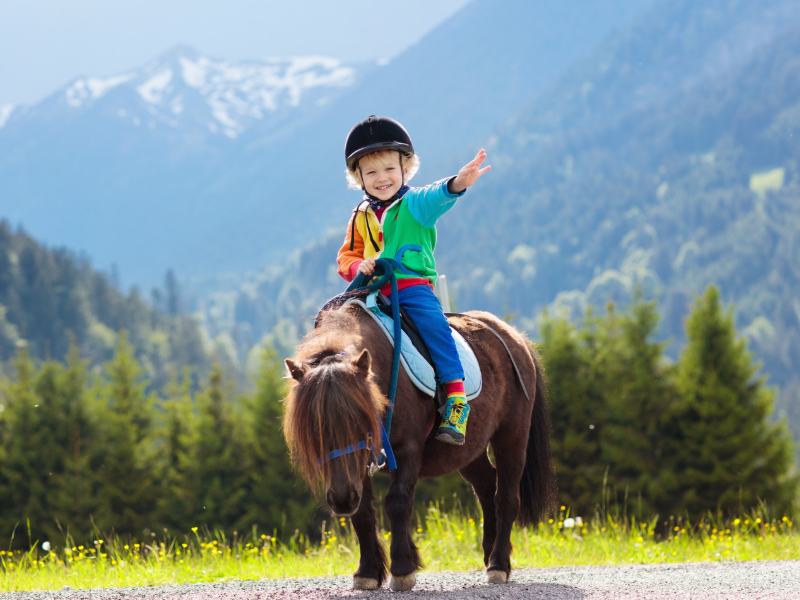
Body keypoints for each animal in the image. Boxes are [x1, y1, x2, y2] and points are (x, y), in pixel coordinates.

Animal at [283, 302, 556, 591]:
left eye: (360, 420)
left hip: (512, 436)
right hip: (469, 452)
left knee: (506, 497)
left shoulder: (407, 451)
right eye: (312, 427)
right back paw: (489, 553)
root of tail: (516, 337)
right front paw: (367, 571)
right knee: (486, 487)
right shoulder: (358, 467)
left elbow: (397, 503)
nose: (342, 499)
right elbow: (363, 513)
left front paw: (403, 568)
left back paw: (498, 564)